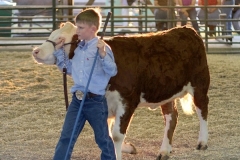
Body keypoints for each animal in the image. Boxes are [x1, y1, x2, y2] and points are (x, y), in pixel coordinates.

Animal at [32, 21, 210, 160]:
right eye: (53, 34)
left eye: (61, 39)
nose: (35, 51)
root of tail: (185, 29)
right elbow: (108, 134)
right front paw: (129, 147)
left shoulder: (127, 101)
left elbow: (116, 134)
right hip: (165, 92)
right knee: (171, 117)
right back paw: (164, 150)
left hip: (200, 83)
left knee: (202, 109)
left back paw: (202, 142)